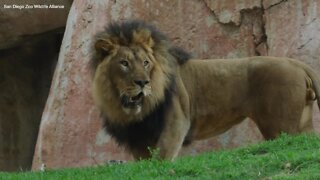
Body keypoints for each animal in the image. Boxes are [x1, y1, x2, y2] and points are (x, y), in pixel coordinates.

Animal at [90, 19, 320, 160]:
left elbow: (162, 159)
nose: (143, 83)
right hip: (302, 123)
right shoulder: (138, 138)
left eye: (146, 62)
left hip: (280, 127)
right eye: (124, 63)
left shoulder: (176, 123)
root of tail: (297, 63)